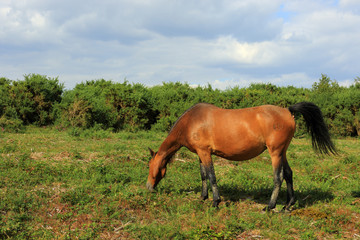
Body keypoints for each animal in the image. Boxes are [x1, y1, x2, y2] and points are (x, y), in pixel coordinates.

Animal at [146, 102, 334, 211]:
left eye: (149, 166)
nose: (148, 187)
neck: (192, 121)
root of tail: (288, 111)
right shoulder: (201, 154)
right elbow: (203, 176)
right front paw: (203, 197)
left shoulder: (205, 152)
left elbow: (212, 176)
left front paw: (215, 202)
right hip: (283, 152)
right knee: (288, 174)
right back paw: (288, 206)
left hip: (275, 153)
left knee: (278, 177)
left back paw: (270, 206)